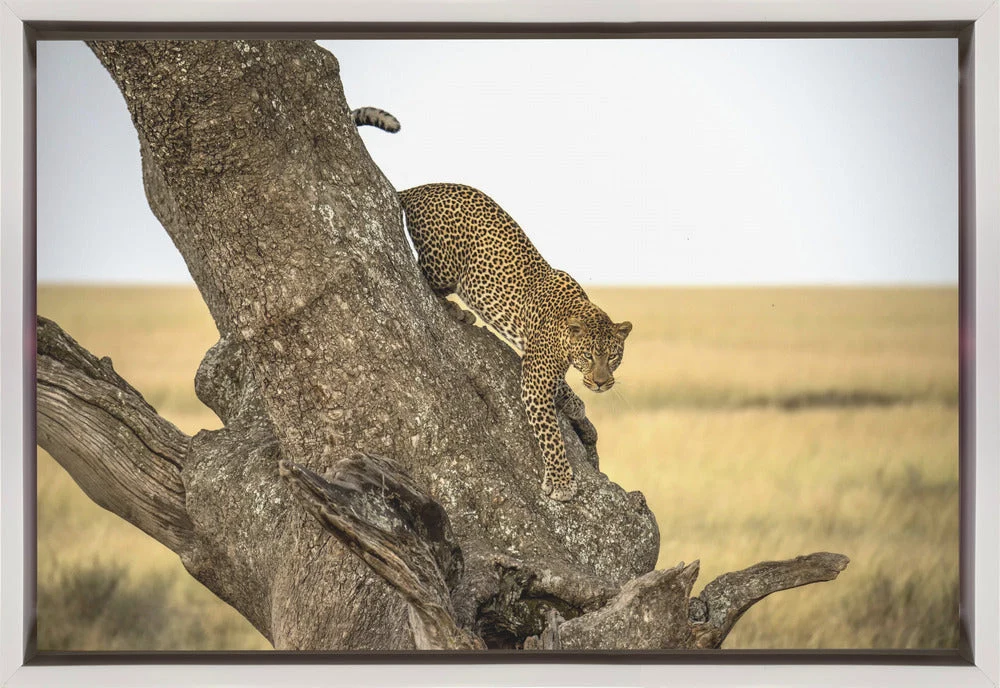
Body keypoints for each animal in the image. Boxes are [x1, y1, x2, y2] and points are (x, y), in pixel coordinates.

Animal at [352, 107, 631, 502]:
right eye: (591, 356)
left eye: (614, 356)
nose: (603, 383)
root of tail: (420, 189)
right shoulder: (534, 380)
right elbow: (550, 435)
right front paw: (562, 481)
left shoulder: (535, 361)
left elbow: (561, 387)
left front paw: (574, 403)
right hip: (445, 264)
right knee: (422, 276)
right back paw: (458, 311)